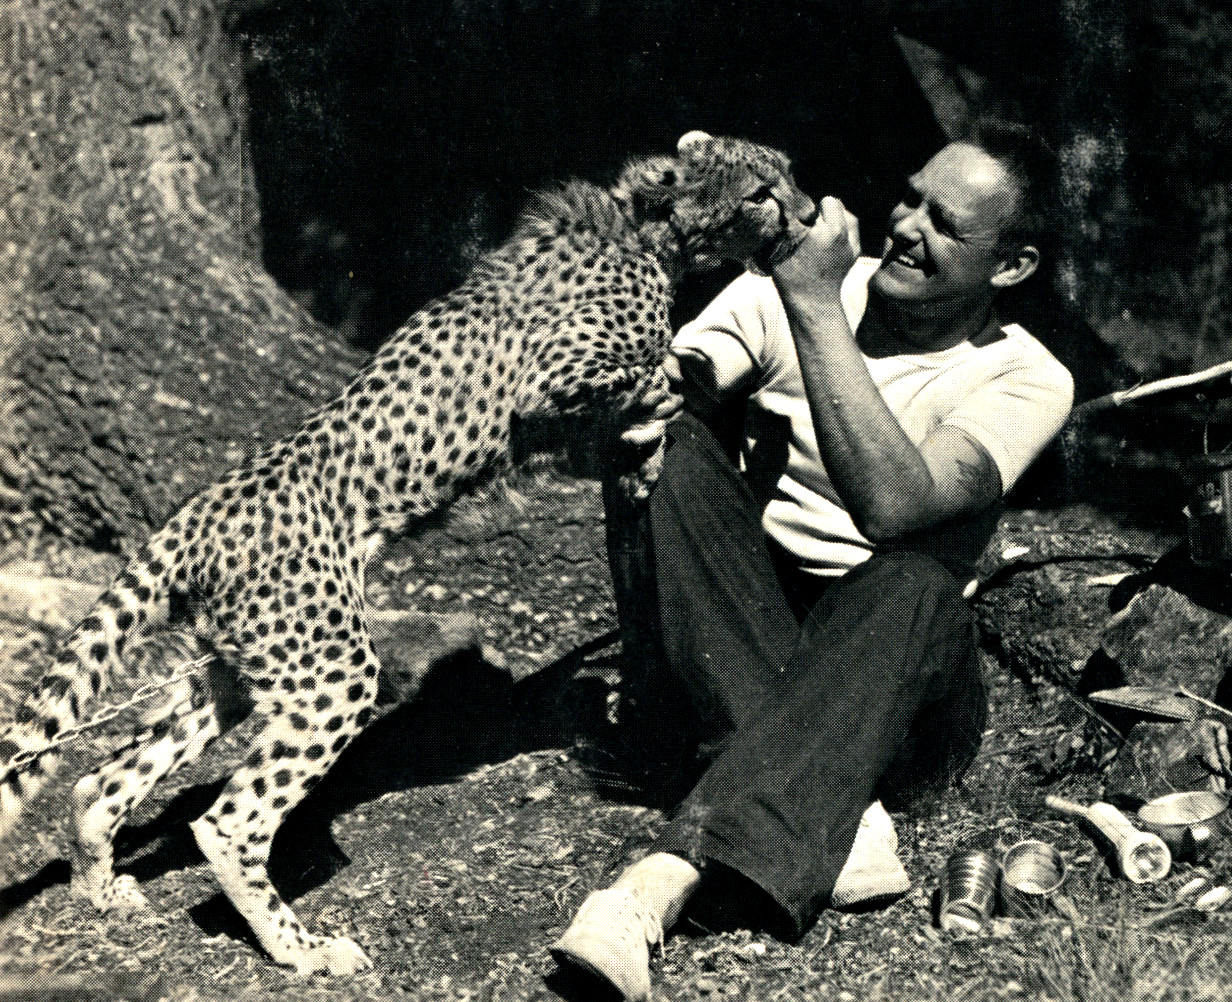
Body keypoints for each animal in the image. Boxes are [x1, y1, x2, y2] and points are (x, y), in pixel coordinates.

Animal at [0, 128, 818, 971]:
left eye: (786, 177)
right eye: (761, 193)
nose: (810, 215)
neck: (648, 230)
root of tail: (195, 512)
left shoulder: (555, 433)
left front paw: (646, 455)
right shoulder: (551, 384)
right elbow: (653, 371)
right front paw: (663, 416)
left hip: (238, 669)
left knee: (100, 780)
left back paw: (100, 890)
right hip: (331, 670)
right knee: (229, 823)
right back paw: (303, 949)